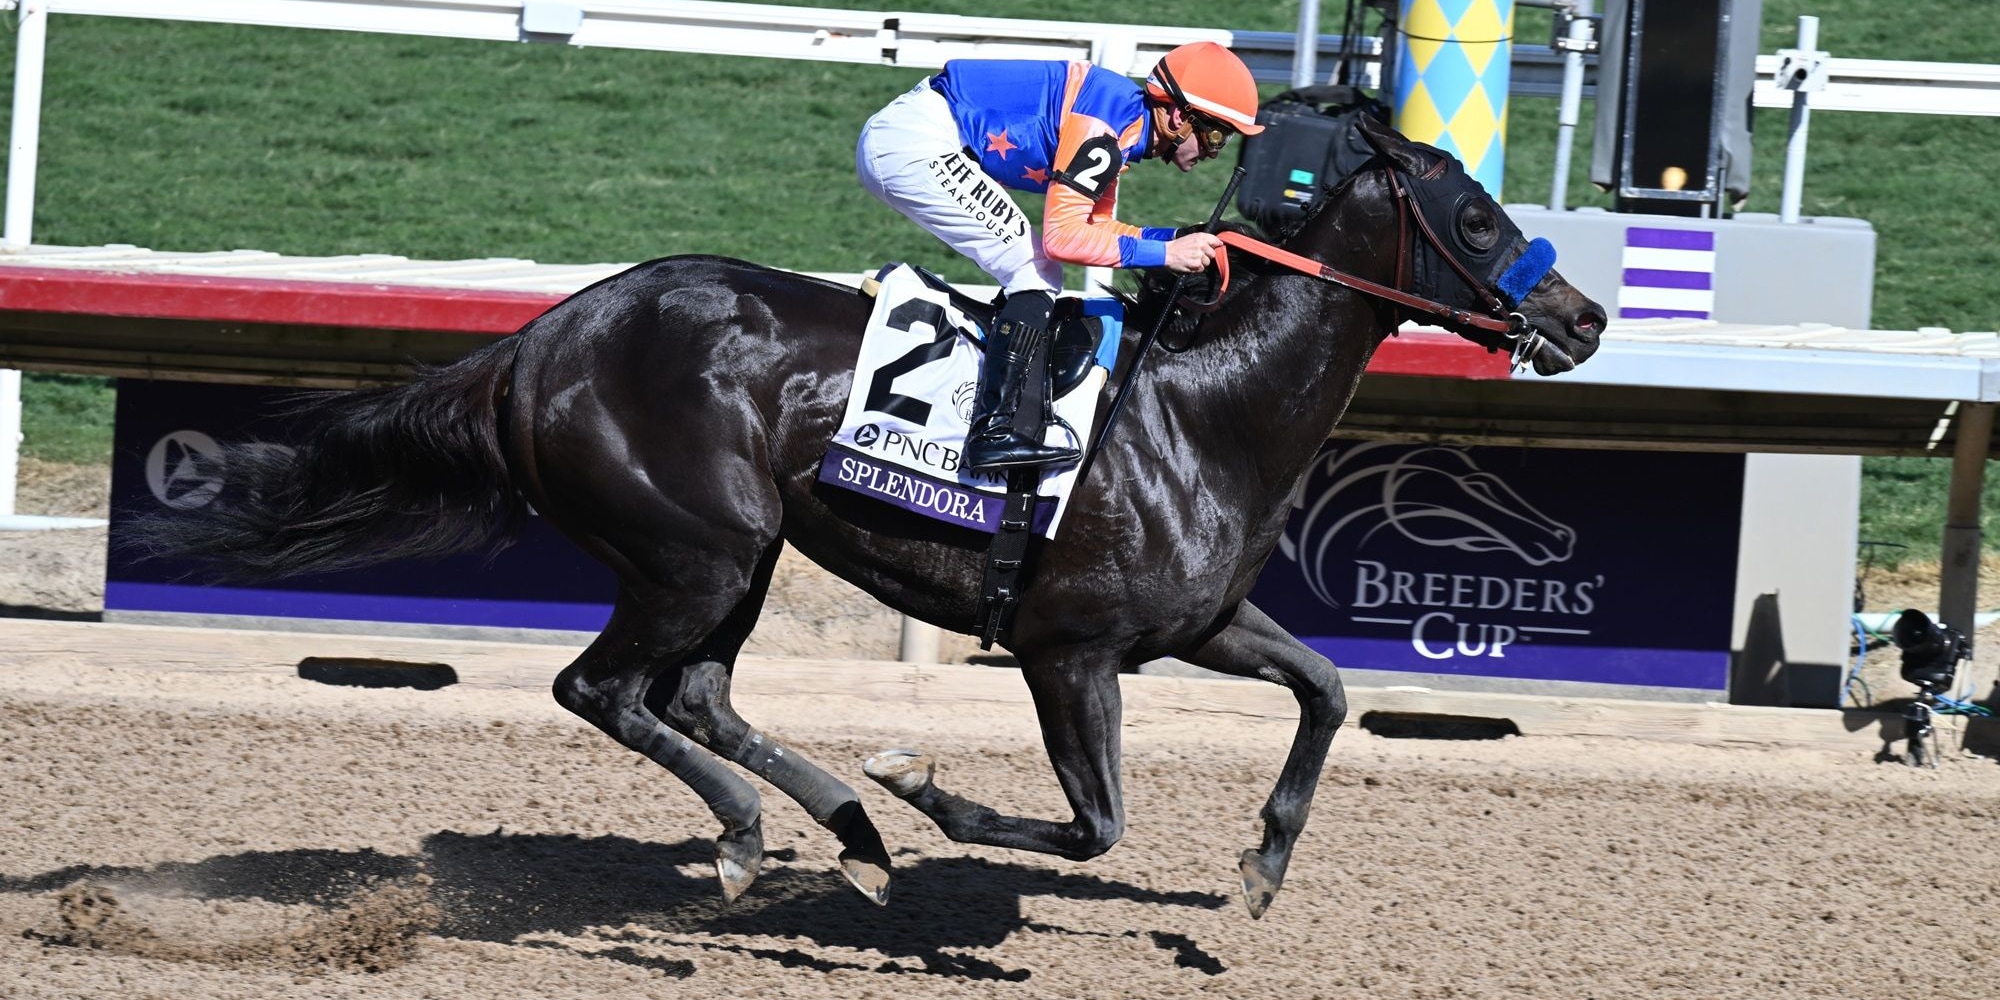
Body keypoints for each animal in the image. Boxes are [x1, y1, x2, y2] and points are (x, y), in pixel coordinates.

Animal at [140, 115, 1605, 919]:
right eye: (1477, 213)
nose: (1584, 315)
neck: (1206, 407)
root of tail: (536, 340)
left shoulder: (1197, 625)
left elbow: (1327, 690)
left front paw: (1259, 867)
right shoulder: (1068, 649)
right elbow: (1094, 822)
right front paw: (923, 784)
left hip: (737, 553)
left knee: (695, 695)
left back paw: (840, 832)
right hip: (696, 546)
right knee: (604, 689)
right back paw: (765, 832)